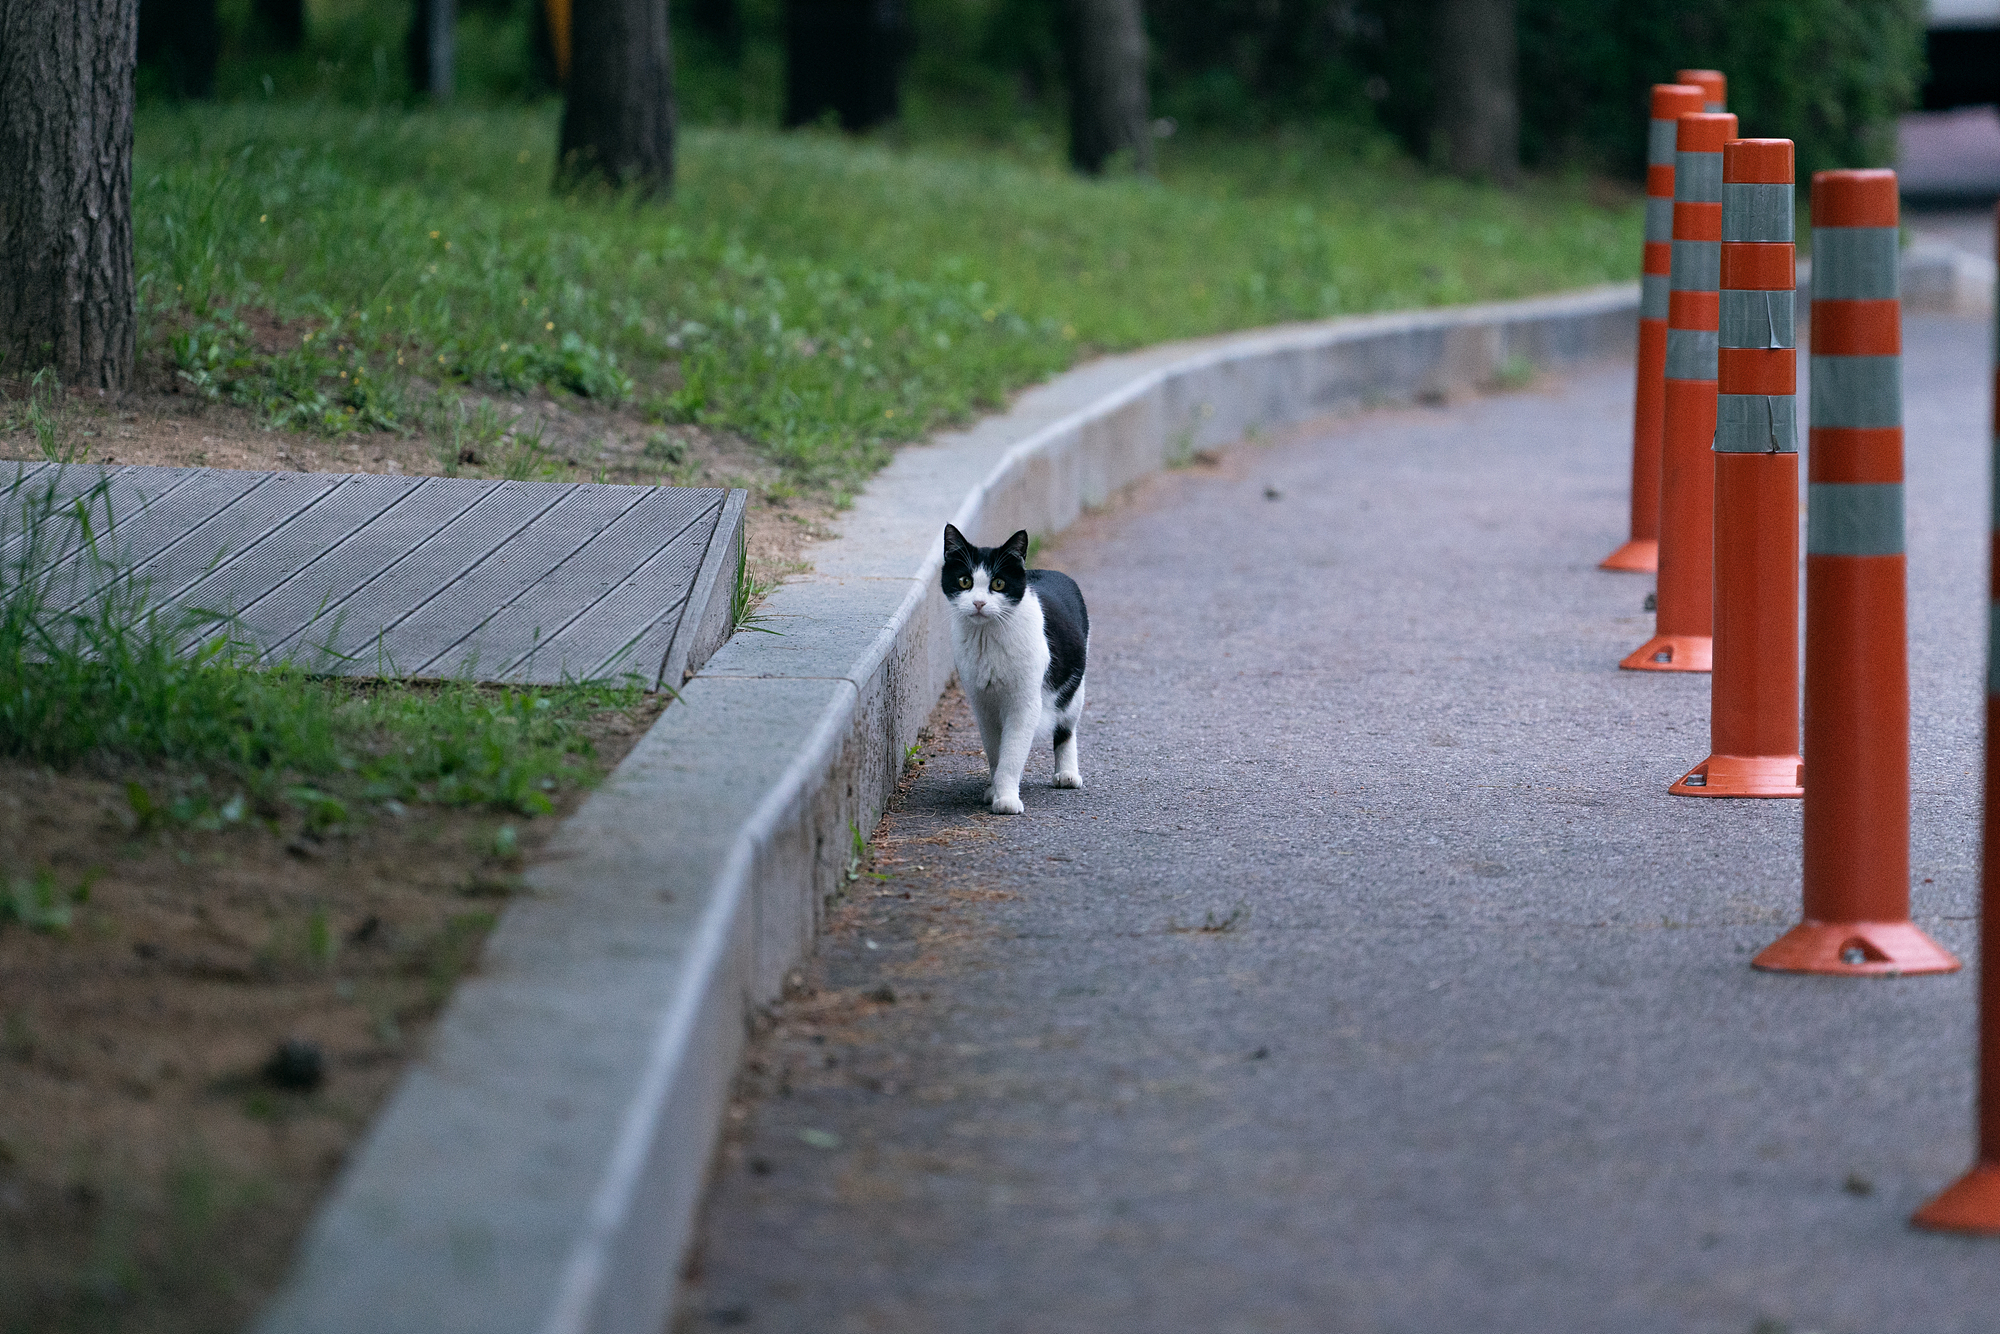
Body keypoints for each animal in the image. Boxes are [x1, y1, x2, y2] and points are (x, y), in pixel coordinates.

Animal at [940, 520, 1088, 816]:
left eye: (998, 583)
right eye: (965, 581)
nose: (979, 603)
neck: (987, 639)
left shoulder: (1024, 703)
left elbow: (1012, 754)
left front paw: (1006, 799)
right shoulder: (982, 704)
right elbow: (996, 752)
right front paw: (994, 791)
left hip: (1075, 687)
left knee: (1067, 727)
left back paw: (1067, 773)